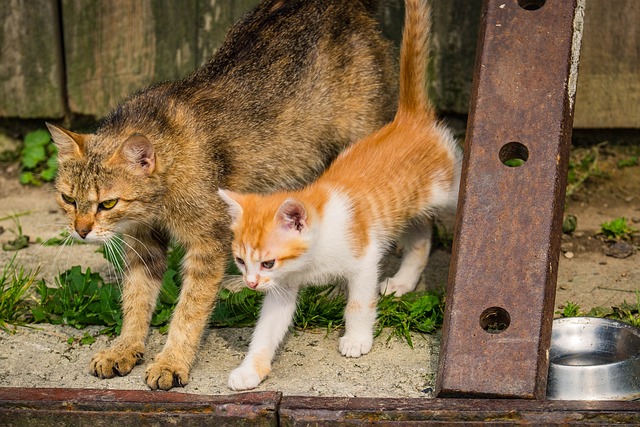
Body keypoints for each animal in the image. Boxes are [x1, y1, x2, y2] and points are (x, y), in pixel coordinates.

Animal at [46, 0, 396, 392]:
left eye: (107, 203)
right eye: (68, 199)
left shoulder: (207, 244)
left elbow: (189, 310)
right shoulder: (143, 244)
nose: (81, 231)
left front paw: (171, 361)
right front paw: (125, 347)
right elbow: (136, 300)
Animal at [220, 0, 460, 392]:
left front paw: (357, 339)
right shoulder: (283, 289)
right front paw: (250, 370)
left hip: (448, 188)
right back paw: (404, 281)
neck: (312, 258)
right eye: (241, 261)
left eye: (267, 262)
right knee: (422, 235)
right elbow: (266, 329)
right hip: (404, 207)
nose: (251, 283)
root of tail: (406, 118)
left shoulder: (364, 259)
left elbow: (359, 303)